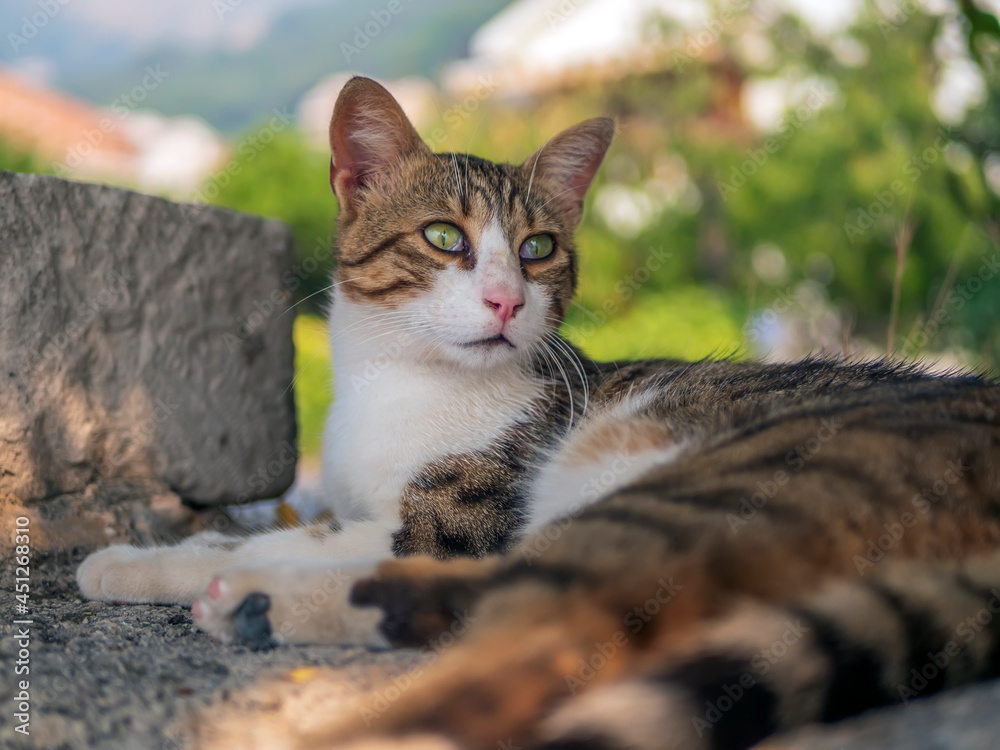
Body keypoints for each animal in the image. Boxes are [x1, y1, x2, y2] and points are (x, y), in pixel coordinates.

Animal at [82, 78, 1000, 750]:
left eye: (538, 249)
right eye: (444, 237)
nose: (505, 299)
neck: (398, 385)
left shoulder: (453, 518)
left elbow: (295, 534)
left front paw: (153, 560)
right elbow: (268, 529)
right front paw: (150, 557)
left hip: (716, 478)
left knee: (561, 626)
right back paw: (265, 606)